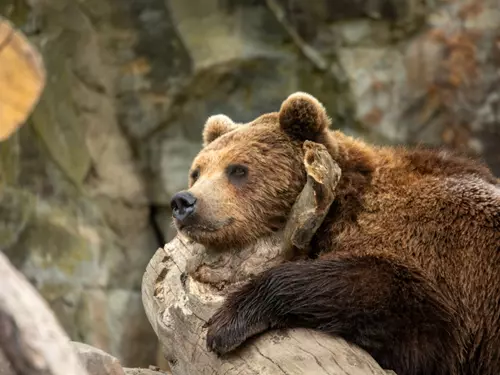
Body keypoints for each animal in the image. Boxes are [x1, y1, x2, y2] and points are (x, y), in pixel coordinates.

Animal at [170, 92, 500, 375]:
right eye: (197, 172)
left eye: (238, 169)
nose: (184, 202)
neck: (336, 208)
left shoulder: (439, 254)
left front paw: (226, 323)